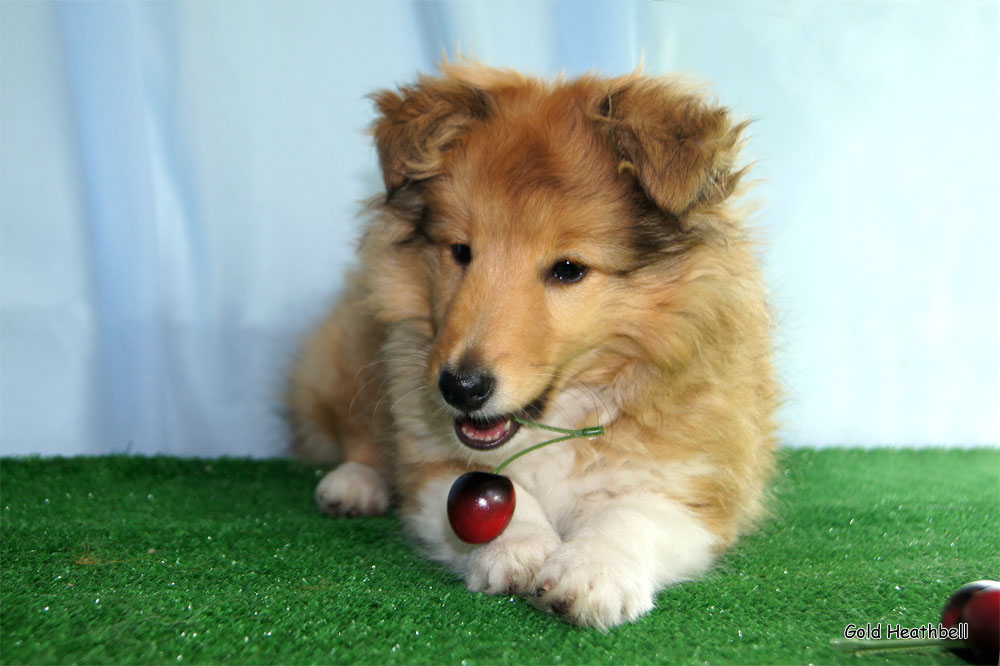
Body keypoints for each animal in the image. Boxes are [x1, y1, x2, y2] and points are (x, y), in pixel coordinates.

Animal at [286, 62, 776, 628]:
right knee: (355, 428)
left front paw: (591, 571)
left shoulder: (700, 485)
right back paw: (354, 484)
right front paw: (516, 550)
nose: (460, 388)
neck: (563, 416)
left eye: (569, 269)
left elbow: (631, 513)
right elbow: (490, 492)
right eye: (461, 251)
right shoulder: (429, 465)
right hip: (346, 352)